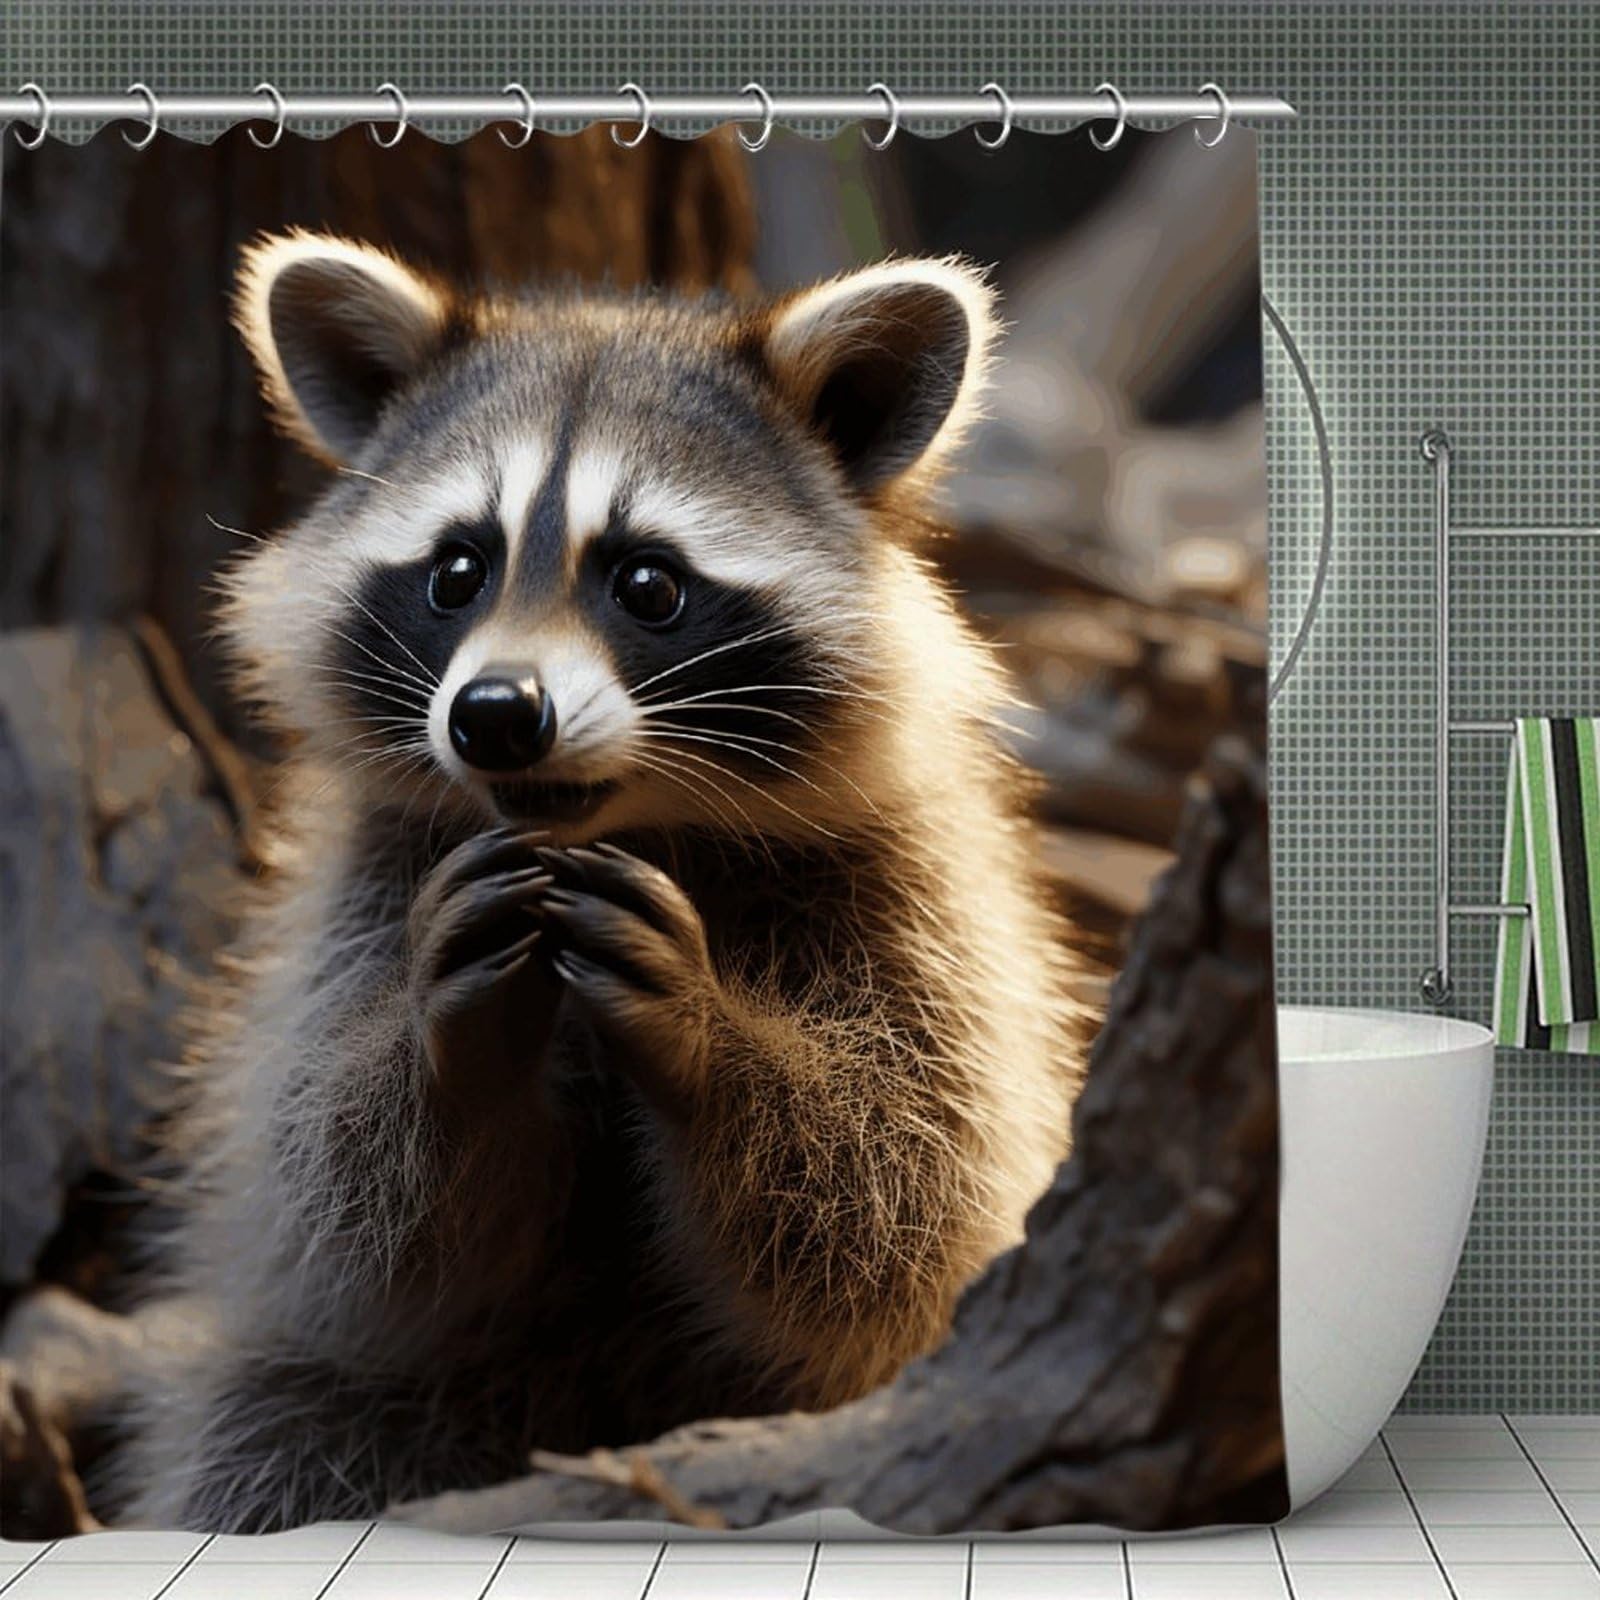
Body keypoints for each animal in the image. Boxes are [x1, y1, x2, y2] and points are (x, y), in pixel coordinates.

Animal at [118, 231, 1089, 1532]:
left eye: (647, 584)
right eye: (457, 571)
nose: (495, 715)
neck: (616, 826)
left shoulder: (916, 896)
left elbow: (901, 1196)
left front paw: (713, 1038)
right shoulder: (363, 895)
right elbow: (335, 1193)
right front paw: (445, 1043)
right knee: (276, 1431)